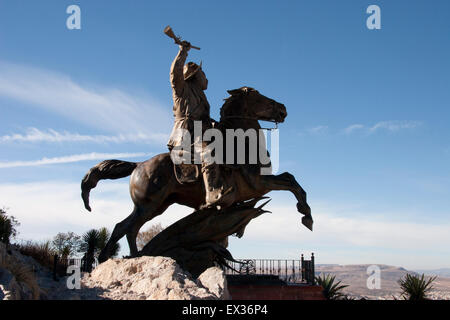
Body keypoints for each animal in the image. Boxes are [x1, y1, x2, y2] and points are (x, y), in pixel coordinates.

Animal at [81, 86, 312, 262]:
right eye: (258, 96)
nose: (283, 109)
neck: (242, 144)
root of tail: (138, 165)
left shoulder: (257, 186)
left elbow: (291, 180)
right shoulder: (258, 183)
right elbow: (291, 181)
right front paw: (306, 216)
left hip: (156, 207)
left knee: (127, 228)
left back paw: (129, 257)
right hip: (148, 205)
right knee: (125, 227)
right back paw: (116, 258)